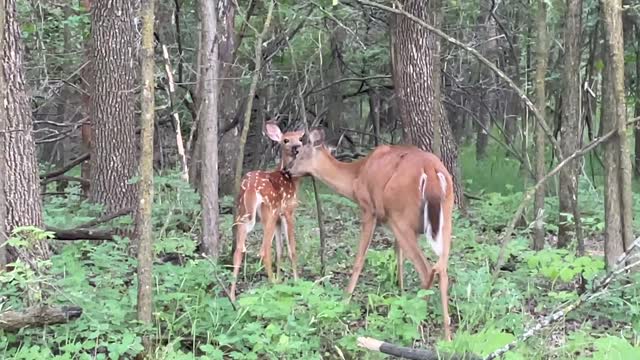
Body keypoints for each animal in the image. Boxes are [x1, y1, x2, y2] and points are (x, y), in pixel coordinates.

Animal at [229, 121, 306, 300]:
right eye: (286, 140)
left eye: (300, 138)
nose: (297, 147)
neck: (291, 180)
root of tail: (250, 187)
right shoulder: (288, 211)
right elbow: (291, 248)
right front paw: (296, 281)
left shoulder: (278, 217)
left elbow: (279, 249)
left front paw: (280, 278)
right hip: (267, 212)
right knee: (263, 250)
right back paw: (272, 285)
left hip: (243, 213)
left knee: (239, 250)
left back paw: (232, 296)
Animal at [284, 129, 456, 340]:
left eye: (299, 153)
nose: (288, 171)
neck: (355, 177)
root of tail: (430, 170)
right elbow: (398, 256)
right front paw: (400, 293)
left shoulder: (369, 209)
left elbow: (360, 258)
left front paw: (345, 299)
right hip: (444, 218)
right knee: (442, 268)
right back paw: (446, 335)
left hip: (401, 215)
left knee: (427, 269)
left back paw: (414, 322)